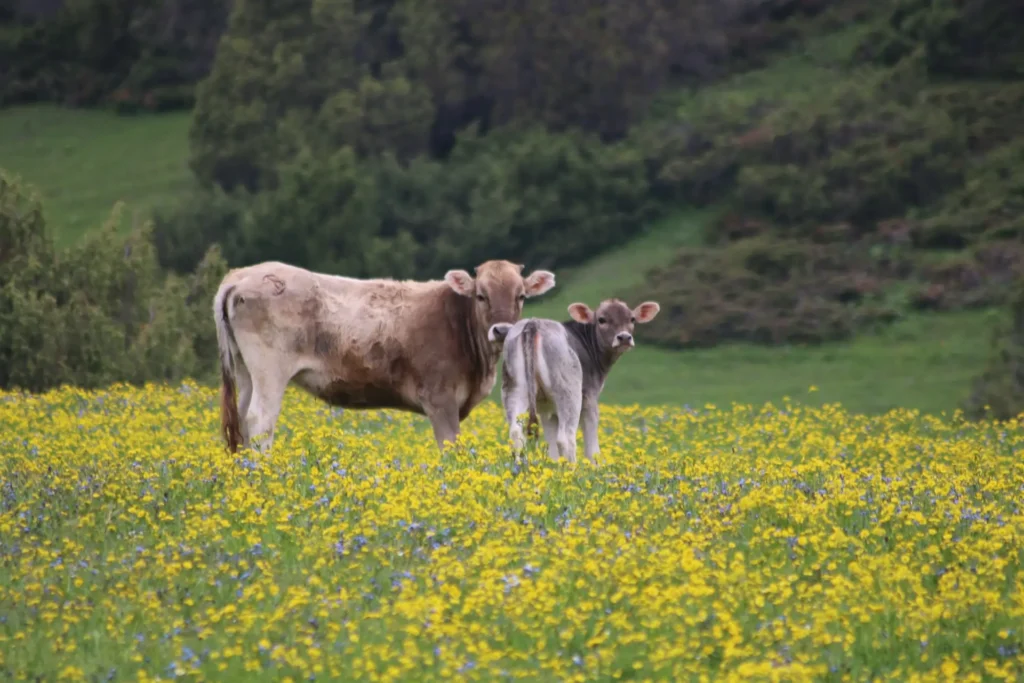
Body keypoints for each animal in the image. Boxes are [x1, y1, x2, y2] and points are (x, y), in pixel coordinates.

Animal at [213, 259, 556, 454]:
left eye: (520, 296)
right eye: (481, 296)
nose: (502, 330)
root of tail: (241, 276)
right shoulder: (440, 399)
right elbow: (450, 450)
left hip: (244, 370)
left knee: (240, 422)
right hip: (269, 370)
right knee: (259, 421)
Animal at [488, 298, 660, 465]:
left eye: (632, 319)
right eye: (602, 319)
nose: (624, 337)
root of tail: (533, 323)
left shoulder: (547, 408)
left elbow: (551, 444)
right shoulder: (590, 397)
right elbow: (591, 445)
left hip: (514, 389)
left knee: (516, 432)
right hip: (569, 392)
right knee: (566, 438)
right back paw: (573, 469)